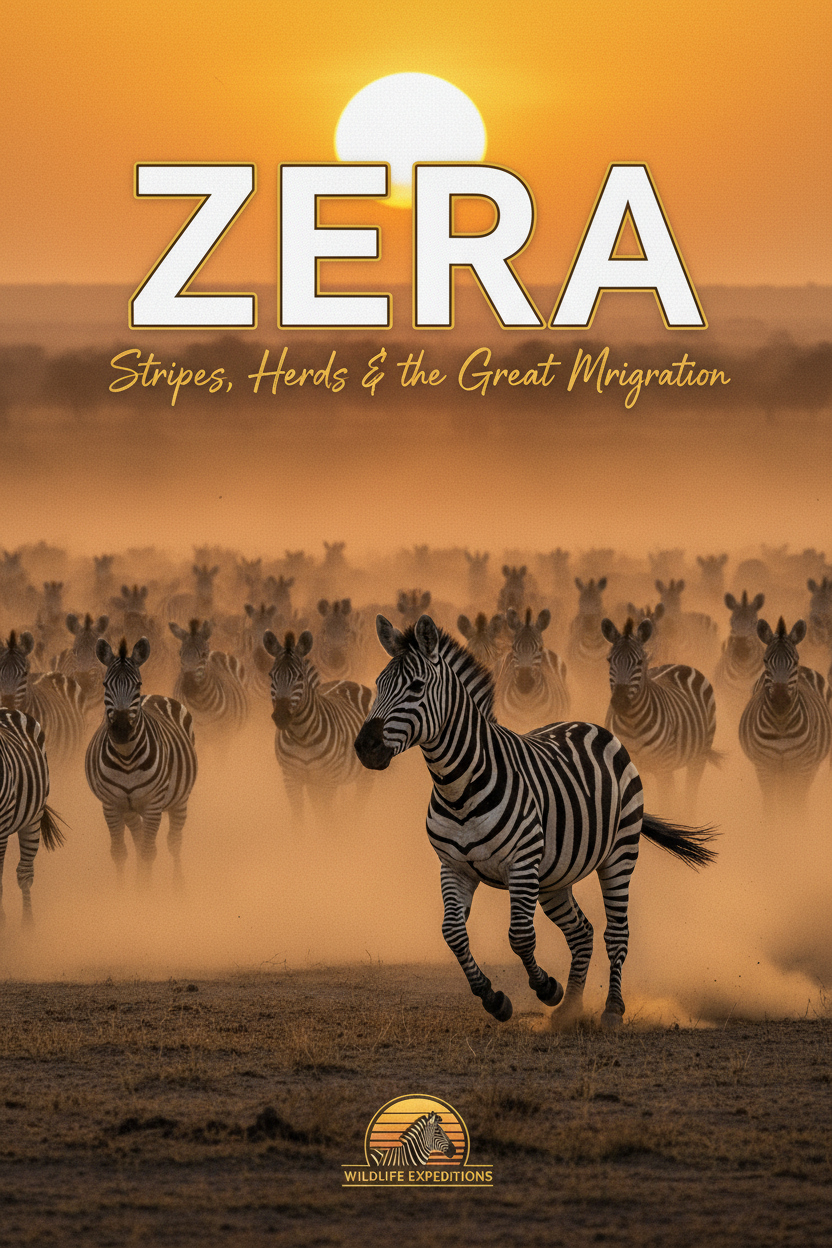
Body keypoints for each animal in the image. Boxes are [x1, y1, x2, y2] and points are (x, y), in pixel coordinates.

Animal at [85, 638, 198, 885]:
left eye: (137, 684)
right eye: (105, 684)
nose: (121, 729)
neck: (126, 757)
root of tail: (154, 695)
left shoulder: (153, 804)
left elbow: (148, 852)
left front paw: (145, 892)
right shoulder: (112, 805)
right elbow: (120, 852)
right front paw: (125, 891)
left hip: (180, 799)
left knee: (174, 842)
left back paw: (178, 885)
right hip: (130, 809)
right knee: (138, 841)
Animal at [263, 629, 374, 821]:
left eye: (300, 676)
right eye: (271, 675)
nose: (281, 716)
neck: (301, 737)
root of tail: (347, 680)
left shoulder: (328, 779)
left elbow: (325, 817)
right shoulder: (291, 778)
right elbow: (299, 818)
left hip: (365, 774)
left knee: (360, 803)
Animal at [602, 617, 720, 810]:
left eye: (639, 662)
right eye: (610, 660)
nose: (620, 702)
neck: (632, 723)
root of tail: (680, 665)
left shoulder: (663, 768)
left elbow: (665, 801)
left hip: (698, 756)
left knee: (690, 793)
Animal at [738, 618, 832, 806]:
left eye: (795, 661)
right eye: (765, 660)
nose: (780, 698)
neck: (781, 723)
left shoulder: (803, 765)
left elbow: (796, 803)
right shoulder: (764, 766)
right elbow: (770, 804)